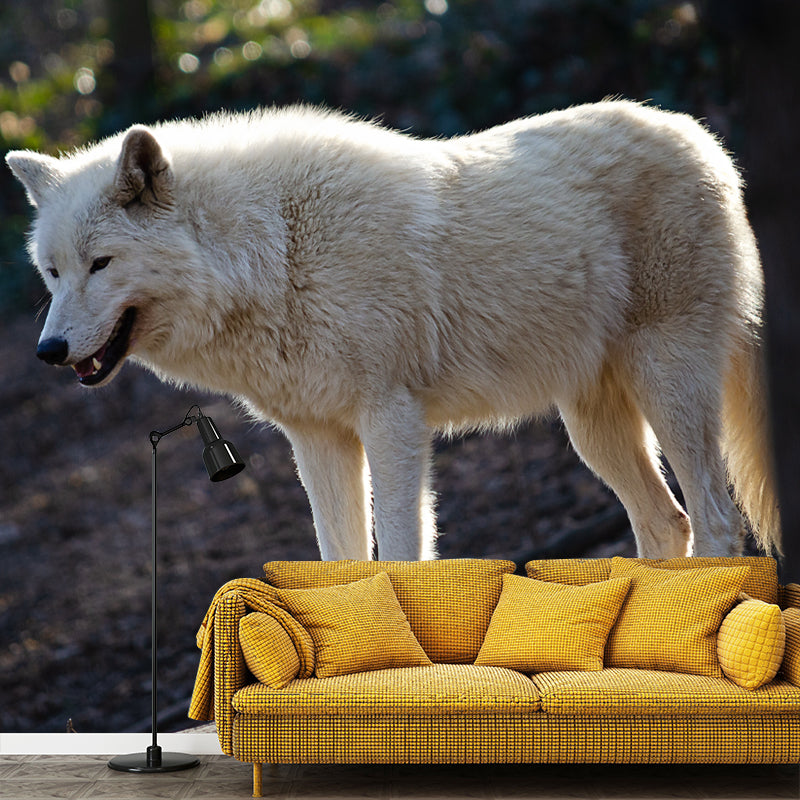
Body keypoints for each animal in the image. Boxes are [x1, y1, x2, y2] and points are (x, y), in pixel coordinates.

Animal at [6, 100, 779, 561]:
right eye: (52, 272)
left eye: (101, 264)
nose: (48, 351)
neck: (274, 252)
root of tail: (704, 139)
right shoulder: (317, 439)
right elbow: (341, 564)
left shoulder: (393, 420)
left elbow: (401, 557)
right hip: (592, 427)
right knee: (667, 523)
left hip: (665, 383)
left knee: (716, 520)